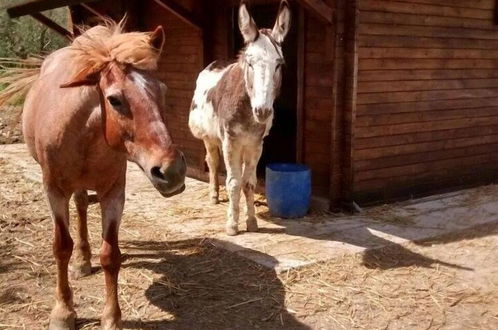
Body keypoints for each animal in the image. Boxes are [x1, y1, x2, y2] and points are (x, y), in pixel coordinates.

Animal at [0, 21, 187, 330]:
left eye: (162, 90)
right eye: (115, 100)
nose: (172, 170)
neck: (83, 134)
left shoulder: (113, 192)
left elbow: (110, 254)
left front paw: (111, 317)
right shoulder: (54, 191)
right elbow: (61, 246)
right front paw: (63, 312)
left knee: (82, 208)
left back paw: (84, 259)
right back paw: (80, 261)